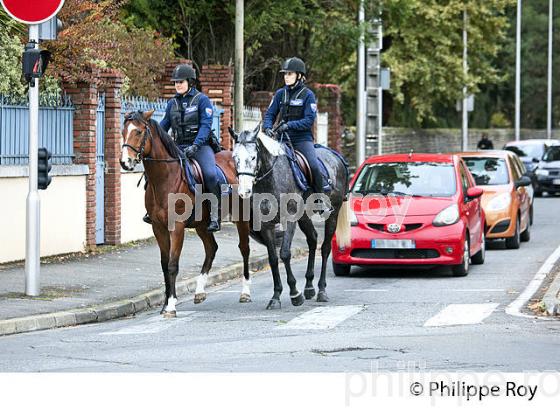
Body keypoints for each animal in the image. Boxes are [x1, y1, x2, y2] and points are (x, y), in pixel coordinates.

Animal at [120, 111, 252, 318]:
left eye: (139, 132)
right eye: (123, 131)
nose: (125, 162)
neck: (165, 178)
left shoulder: (177, 227)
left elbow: (173, 264)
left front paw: (171, 307)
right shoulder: (158, 228)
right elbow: (165, 265)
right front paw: (166, 304)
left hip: (241, 218)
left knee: (244, 249)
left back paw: (245, 293)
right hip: (202, 225)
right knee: (211, 248)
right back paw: (199, 291)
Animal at [228, 123, 350, 310]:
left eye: (253, 157)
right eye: (235, 158)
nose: (244, 191)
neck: (272, 177)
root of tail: (336, 157)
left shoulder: (290, 218)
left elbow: (284, 253)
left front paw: (294, 294)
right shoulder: (266, 224)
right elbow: (273, 258)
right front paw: (276, 296)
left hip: (333, 213)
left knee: (325, 248)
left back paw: (321, 290)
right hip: (304, 217)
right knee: (313, 240)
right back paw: (309, 287)